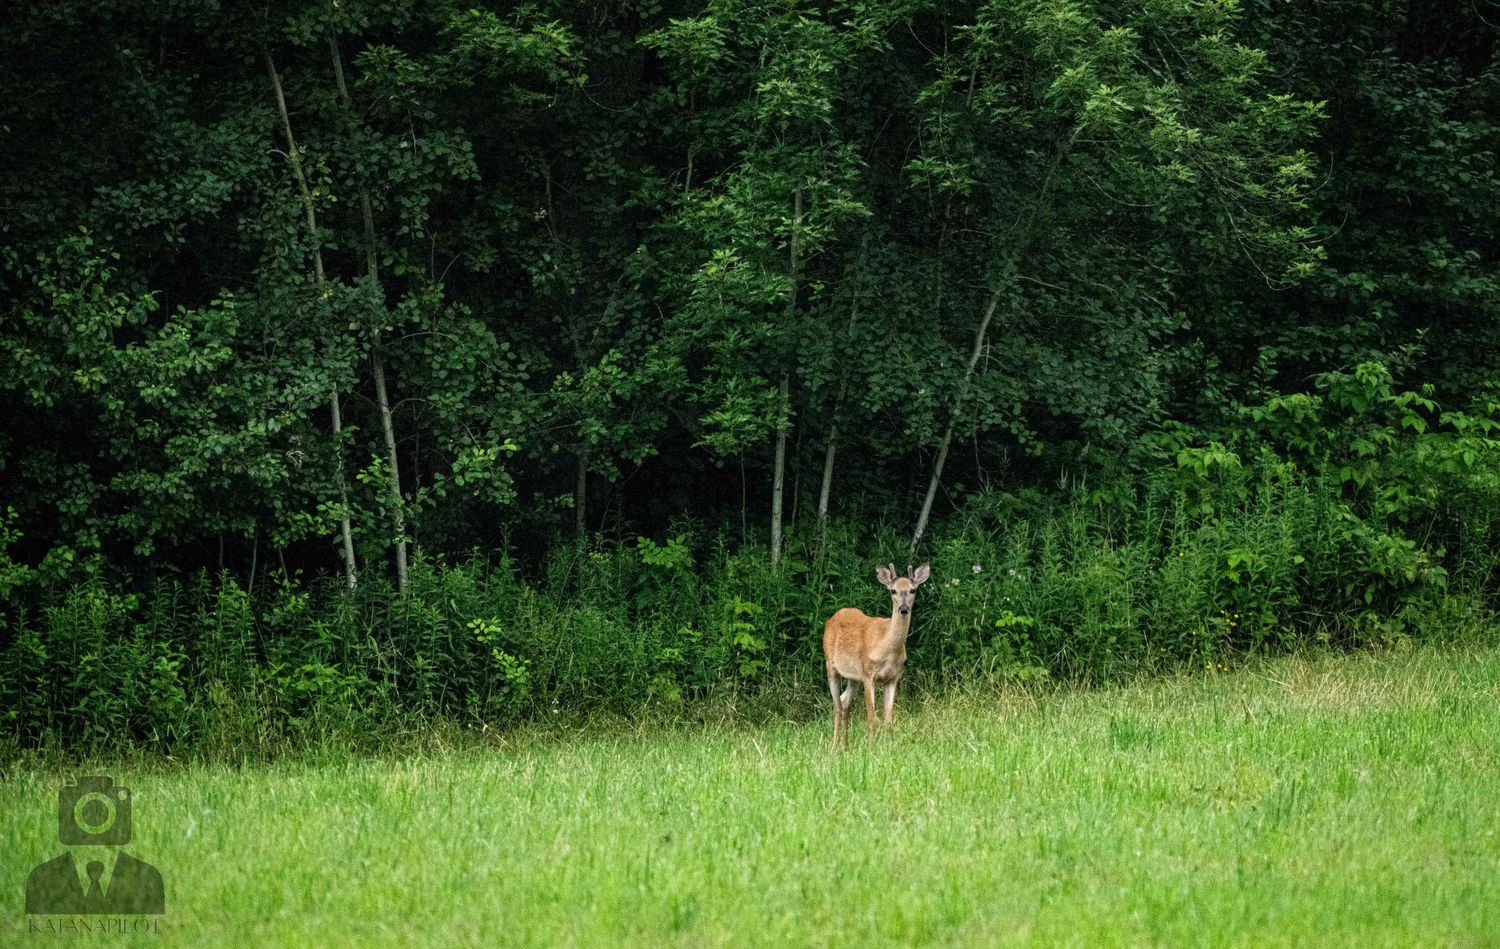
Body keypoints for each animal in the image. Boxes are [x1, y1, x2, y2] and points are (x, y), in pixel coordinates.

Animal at [823, 562, 931, 749]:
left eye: (912, 590)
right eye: (893, 590)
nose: (904, 609)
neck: (886, 647)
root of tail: (833, 617)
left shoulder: (893, 677)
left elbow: (888, 720)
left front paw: (889, 747)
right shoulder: (868, 674)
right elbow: (871, 718)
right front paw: (870, 748)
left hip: (853, 677)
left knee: (845, 703)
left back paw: (846, 746)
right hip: (830, 664)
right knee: (837, 706)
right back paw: (834, 747)